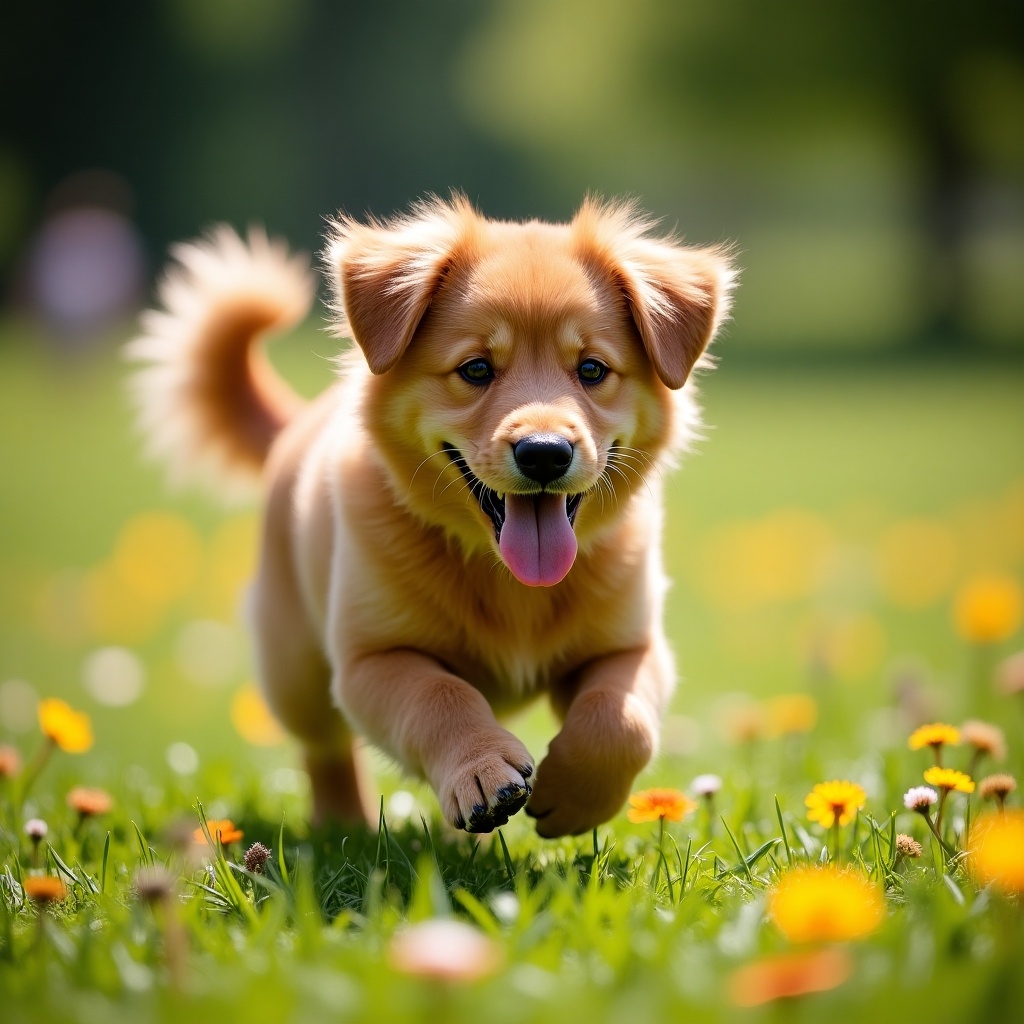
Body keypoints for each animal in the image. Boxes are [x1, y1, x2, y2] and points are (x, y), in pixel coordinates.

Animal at [130, 195, 737, 835]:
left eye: (593, 369)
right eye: (475, 369)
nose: (545, 453)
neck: (507, 579)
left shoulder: (632, 645)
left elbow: (619, 720)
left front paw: (576, 796)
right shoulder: (371, 658)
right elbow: (439, 697)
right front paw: (482, 770)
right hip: (292, 665)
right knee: (324, 746)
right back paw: (343, 825)